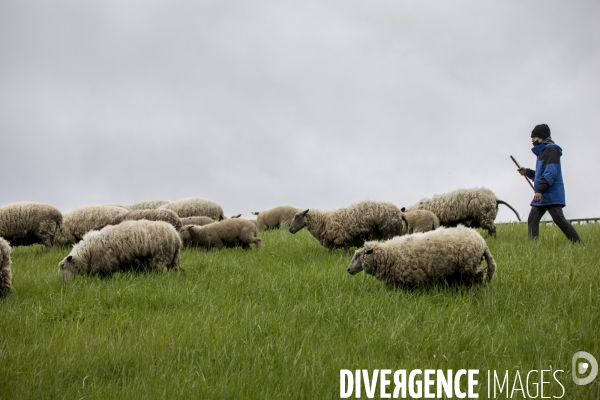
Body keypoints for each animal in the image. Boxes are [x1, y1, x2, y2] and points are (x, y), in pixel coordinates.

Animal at [346, 225, 496, 288]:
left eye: (358, 255)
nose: (348, 270)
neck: (388, 254)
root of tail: (482, 242)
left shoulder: (414, 276)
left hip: (470, 265)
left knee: (478, 278)